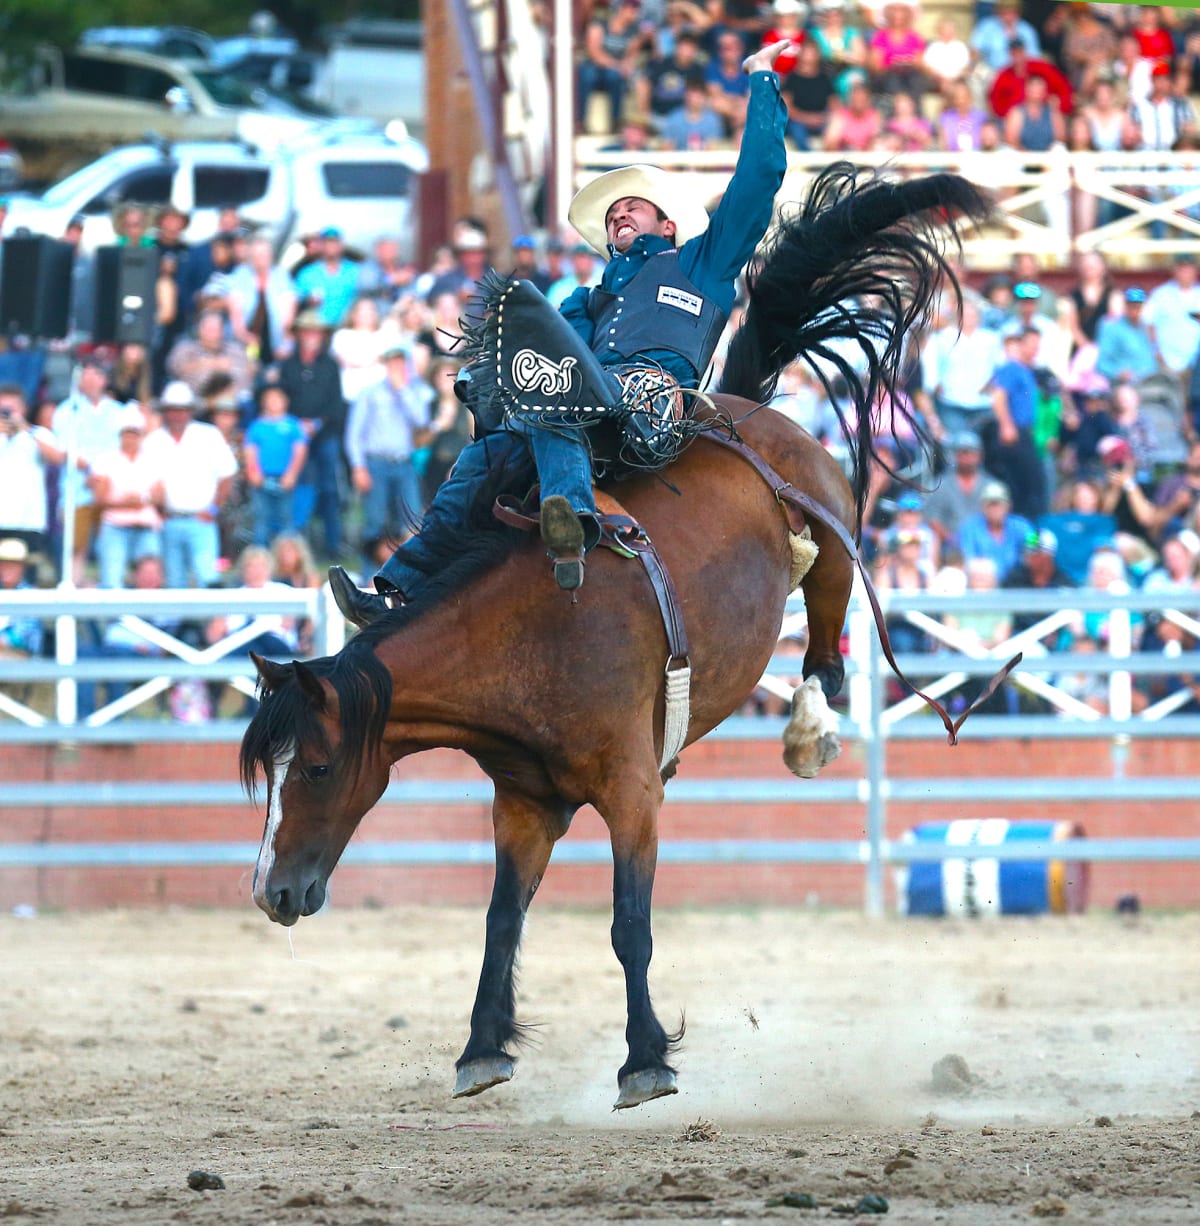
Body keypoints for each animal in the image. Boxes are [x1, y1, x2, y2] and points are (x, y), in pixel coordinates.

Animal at [239, 165, 990, 1113]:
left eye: (319, 767)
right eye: (266, 773)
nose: (272, 892)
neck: (533, 640)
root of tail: (735, 409)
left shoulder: (634, 794)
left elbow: (629, 925)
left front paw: (645, 1062)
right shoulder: (522, 805)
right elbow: (501, 921)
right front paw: (482, 1050)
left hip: (830, 540)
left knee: (827, 646)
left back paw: (807, 730)